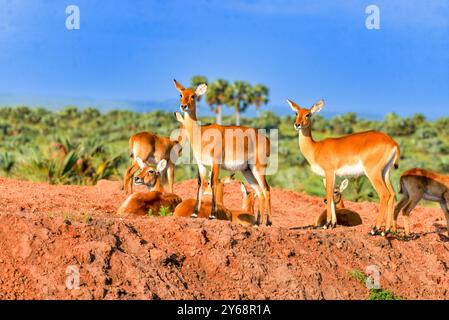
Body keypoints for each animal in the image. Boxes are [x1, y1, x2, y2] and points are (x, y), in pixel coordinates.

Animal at [172, 79, 272, 225]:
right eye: (181, 94)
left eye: (193, 95)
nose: (183, 106)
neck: (201, 133)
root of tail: (266, 139)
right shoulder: (201, 164)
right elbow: (199, 183)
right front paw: (194, 214)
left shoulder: (215, 163)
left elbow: (213, 182)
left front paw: (212, 215)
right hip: (247, 170)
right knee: (259, 191)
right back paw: (257, 224)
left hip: (258, 168)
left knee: (266, 189)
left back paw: (269, 222)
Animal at [288, 99, 400, 234]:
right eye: (296, 113)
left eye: (308, 114)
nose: (297, 124)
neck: (316, 148)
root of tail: (392, 142)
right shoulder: (329, 176)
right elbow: (330, 196)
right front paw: (333, 224)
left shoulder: (329, 172)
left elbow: (329, 194)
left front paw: (326, 224)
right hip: (385, 173)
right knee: (392, 194)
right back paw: (386, 230)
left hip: (373, 173)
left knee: (384, 194)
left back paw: (375, 229)